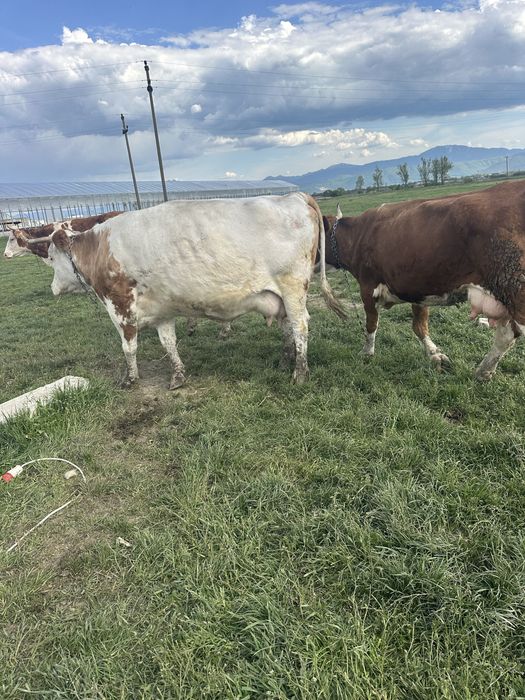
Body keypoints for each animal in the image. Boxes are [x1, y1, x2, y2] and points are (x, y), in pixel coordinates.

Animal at [21, 193, 346, 388]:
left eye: (51, 257)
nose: (53, 288)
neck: (101, 248)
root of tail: (295, 195)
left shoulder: (120, 306)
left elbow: (129, 347)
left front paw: (130, 378)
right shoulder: (161, 309)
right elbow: (169, 344)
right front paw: (178, 375)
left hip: (292, 287)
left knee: (301, 325)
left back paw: (300, 371)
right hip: (280, 295)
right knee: (288, 326)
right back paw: (285, 358)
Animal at [323, 180, 525, 380]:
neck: (357, 235)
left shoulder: (367, 287)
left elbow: (371, 324)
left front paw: (367, 352)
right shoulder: (417, 287)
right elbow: (419, 325)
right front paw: (435, 354)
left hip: (514, 288)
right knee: (507, 333)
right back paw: (484, 370)